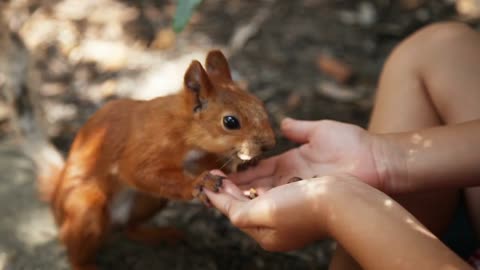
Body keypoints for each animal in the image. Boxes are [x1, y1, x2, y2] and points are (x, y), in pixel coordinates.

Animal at [38, 50, 276, 270]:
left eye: (259, 103)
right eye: (230, 122)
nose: (269, 144)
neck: (183, 129)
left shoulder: (197, 156)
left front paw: (243, 167)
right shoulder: (144, 147)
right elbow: (136, 171)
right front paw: (199, 182)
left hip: (150, 201)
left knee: (130, 229)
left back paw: (159, 234)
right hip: (85, 209)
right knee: (75, 247)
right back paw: (85, 264)